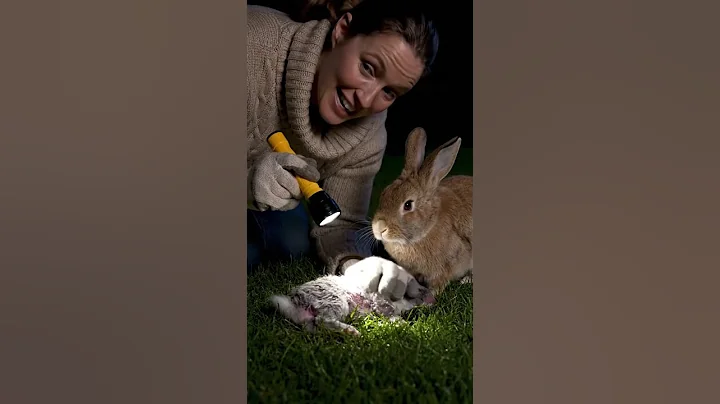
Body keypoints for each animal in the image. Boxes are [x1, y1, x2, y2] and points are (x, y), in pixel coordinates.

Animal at [269, 257, 436, 336]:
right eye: (419, 287)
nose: (433, 300)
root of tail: (296, 301)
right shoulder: (380, 298)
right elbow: (385, 308)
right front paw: (403, 324)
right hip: (336, 302)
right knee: (323, 320)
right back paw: (353, 332)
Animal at [371, 127, 473, 296]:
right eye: (384, 194)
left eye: (407, 205)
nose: (379, 228)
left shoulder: (447, 266)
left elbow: (439, 283)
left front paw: (430, 295)